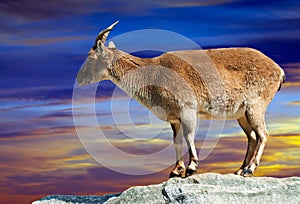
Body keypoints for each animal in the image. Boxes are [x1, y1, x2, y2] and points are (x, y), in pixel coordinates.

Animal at [77, 21, 286, 178]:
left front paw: (192, 168)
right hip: (242, 114)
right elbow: (176, 140)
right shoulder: (174, 117)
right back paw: (239, 169)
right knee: (252, 136)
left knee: (263, 134)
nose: (78, 78)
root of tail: (279, 70)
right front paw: (176, 171)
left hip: (256, 105)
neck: (153, 75)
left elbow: (189, 135)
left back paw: (249, 169)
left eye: (90, 56)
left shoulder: (187, 109)